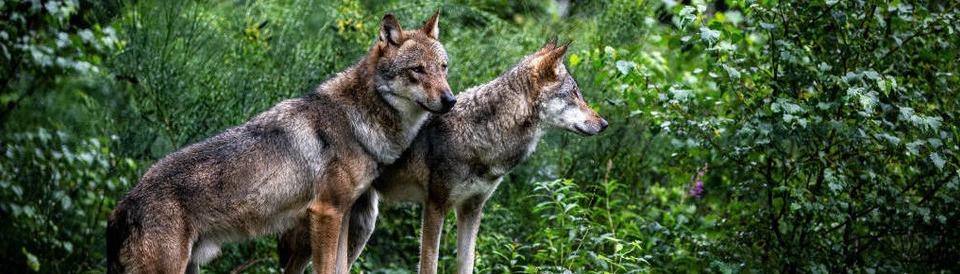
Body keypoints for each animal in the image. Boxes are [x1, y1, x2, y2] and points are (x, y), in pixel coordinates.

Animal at [109, 12, 454, 274]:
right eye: (417, 70)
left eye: (443, 67)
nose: (450, 100)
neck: (357, 117)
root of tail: (126, 202)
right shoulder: (326, 212)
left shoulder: (342, 215)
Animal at [280, 39, 608, 272]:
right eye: (575, 94)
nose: (604, 123)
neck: (482, 137)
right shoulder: (435, 205)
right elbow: (429, 264)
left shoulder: (472, 210)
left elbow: (466, 265)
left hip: (360, 226)